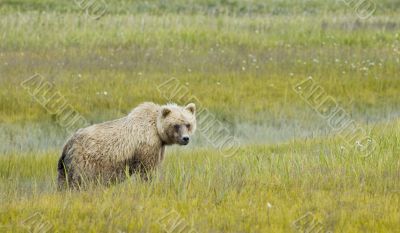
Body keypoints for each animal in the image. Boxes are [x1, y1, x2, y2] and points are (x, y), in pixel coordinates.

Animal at [58, 102, 197, 189]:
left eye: (188, 124)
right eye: (176, 125)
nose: (185, 138)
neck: (156, 130)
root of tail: (68, 143)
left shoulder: (158, 146)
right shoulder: (146, 146)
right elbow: (147, 170)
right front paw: (149, 184)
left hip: (65, 165)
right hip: (84, 161)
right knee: (78, 180)